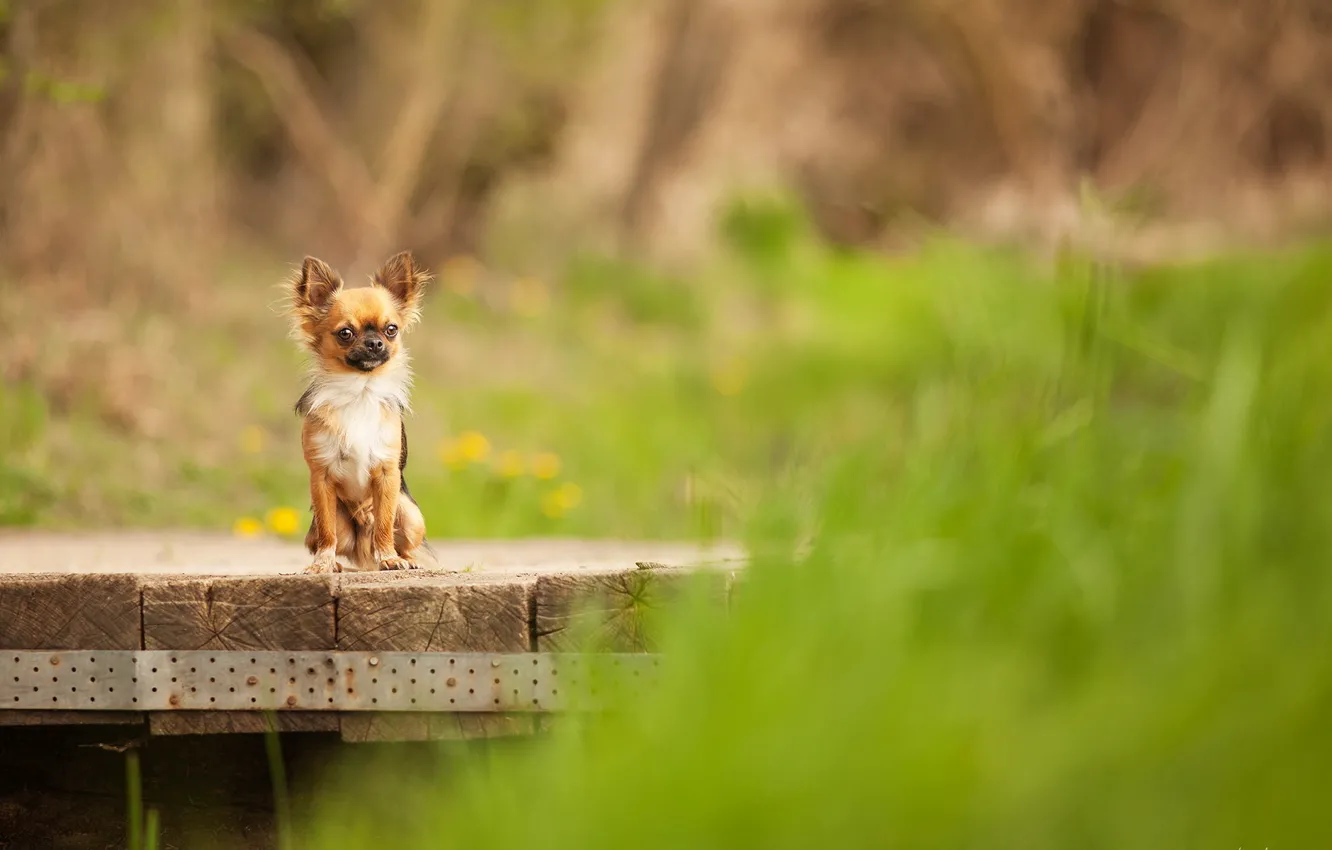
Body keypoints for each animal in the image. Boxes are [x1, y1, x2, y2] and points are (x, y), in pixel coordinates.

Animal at [286, 251, 431, 572]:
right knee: (330, 539)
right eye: (345, 333)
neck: (360, 390)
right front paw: (323, 564)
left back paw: (405, 560)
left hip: (411, 514)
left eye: (391, 330)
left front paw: (389, 558)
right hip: (329, 524)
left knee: (399, 538)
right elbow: (327, 534)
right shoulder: (321, 477)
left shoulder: (388, 475)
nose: (375, 343)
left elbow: (384, 525)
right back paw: (340, 565)